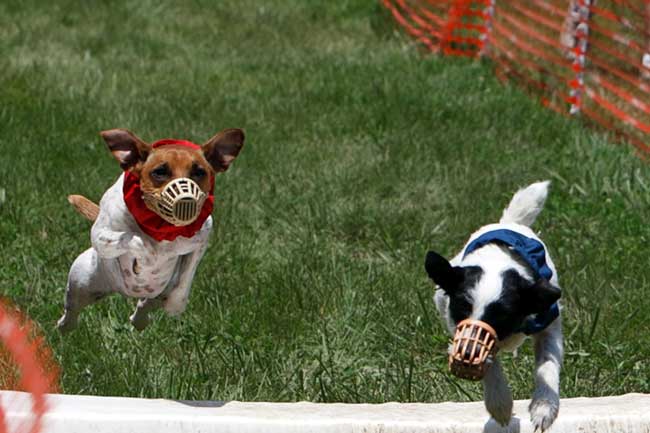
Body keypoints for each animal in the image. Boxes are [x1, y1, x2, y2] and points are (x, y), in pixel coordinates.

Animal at [58, 127, 244, 330]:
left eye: (199, 172)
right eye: (160, 171)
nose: (186, 199)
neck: (163, 228)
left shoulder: (201, 240)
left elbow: (184, 282)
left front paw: (173, 304)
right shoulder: (101, 236)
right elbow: (137, 240)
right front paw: (144, 260)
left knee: (146, 304)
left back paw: (140, 319)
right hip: (81, 281)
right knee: (70, 311)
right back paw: (65, 326)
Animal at [426, 181, 560, 430]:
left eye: (501, 316)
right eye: (461, 308)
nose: (467, 353)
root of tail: (508, 223)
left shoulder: (549, 321)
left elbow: (547, 364)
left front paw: (544, 407)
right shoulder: (453, 319)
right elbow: (490, 362)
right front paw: (500, 404)